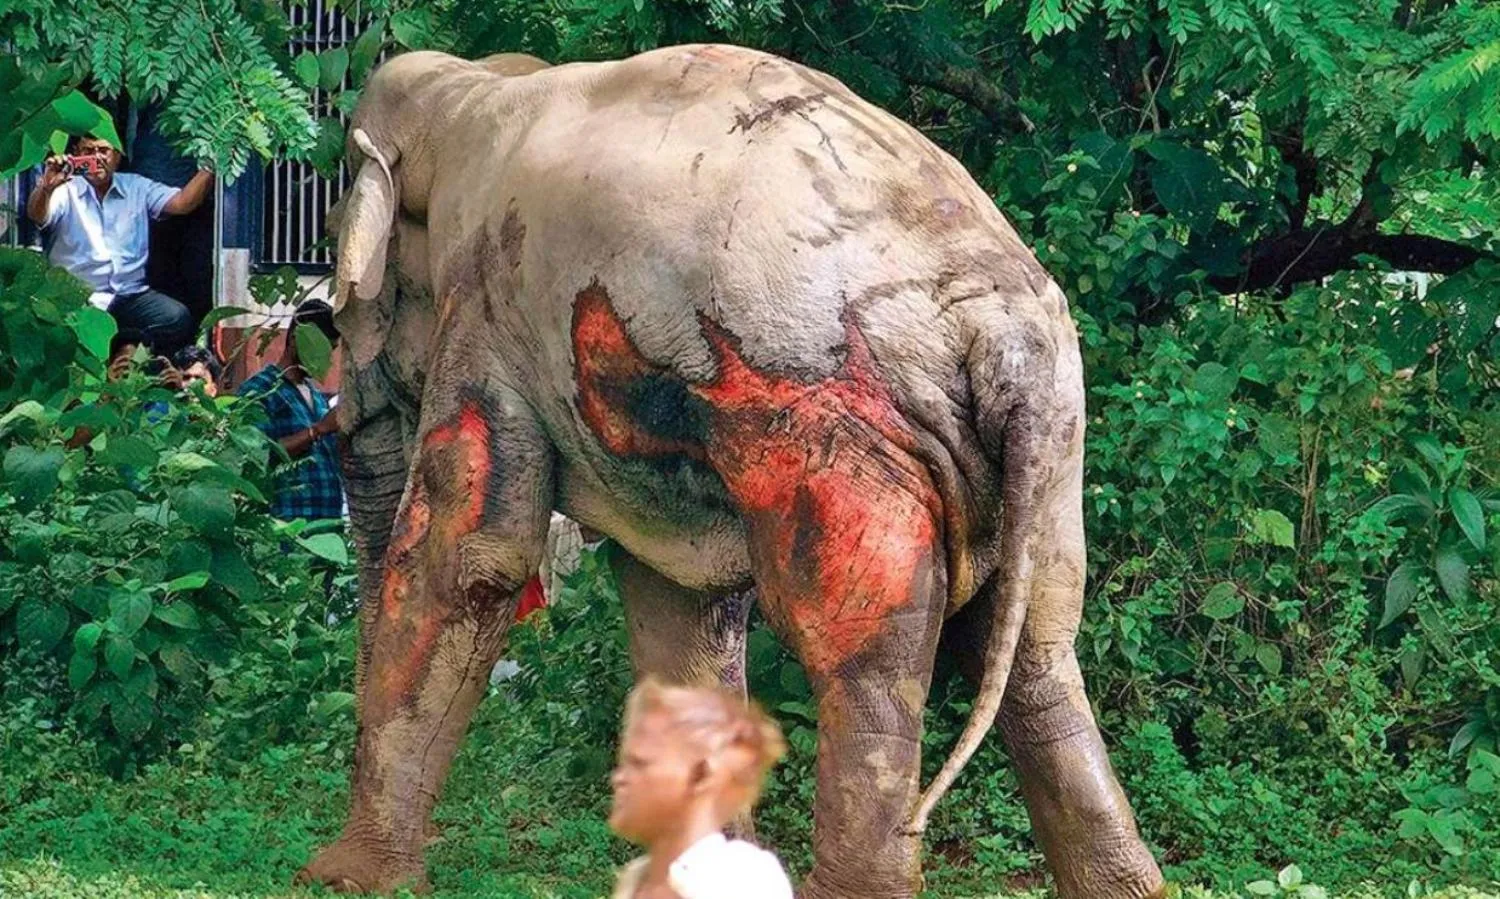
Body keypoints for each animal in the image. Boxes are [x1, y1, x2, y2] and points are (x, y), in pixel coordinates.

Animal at [298, 43, 1166, 899]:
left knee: (862, 653)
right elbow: (680, 604)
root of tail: (1000, 331)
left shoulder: (486, 305)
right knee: (1036, 649)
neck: (475, 87)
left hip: (830, 425)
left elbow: (470, 559)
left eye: (345, 304)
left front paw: (346, 877)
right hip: (1052, 442)